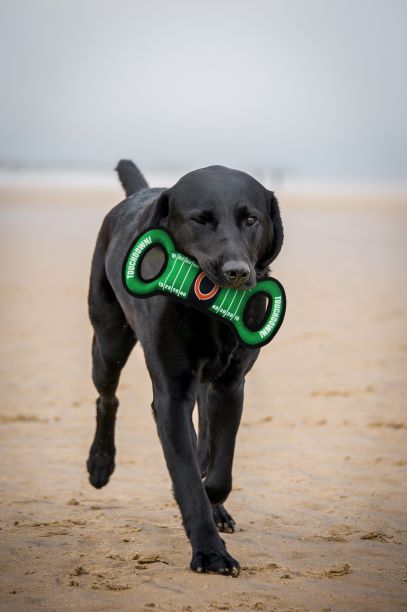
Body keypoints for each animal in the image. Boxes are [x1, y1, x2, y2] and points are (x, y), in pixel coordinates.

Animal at [87, 160, 284, 576]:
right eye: (200, 220)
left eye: (251, 219)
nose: (238, 272)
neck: (210, 312)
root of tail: (140, 193)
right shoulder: (172, 395)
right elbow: (189, 476)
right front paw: (210, 552)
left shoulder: (230, 386)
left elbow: (219, 471)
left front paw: (215, 503)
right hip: (109, 342)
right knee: (106, 397)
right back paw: (100, 463)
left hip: (206, 386)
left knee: (205, 438)